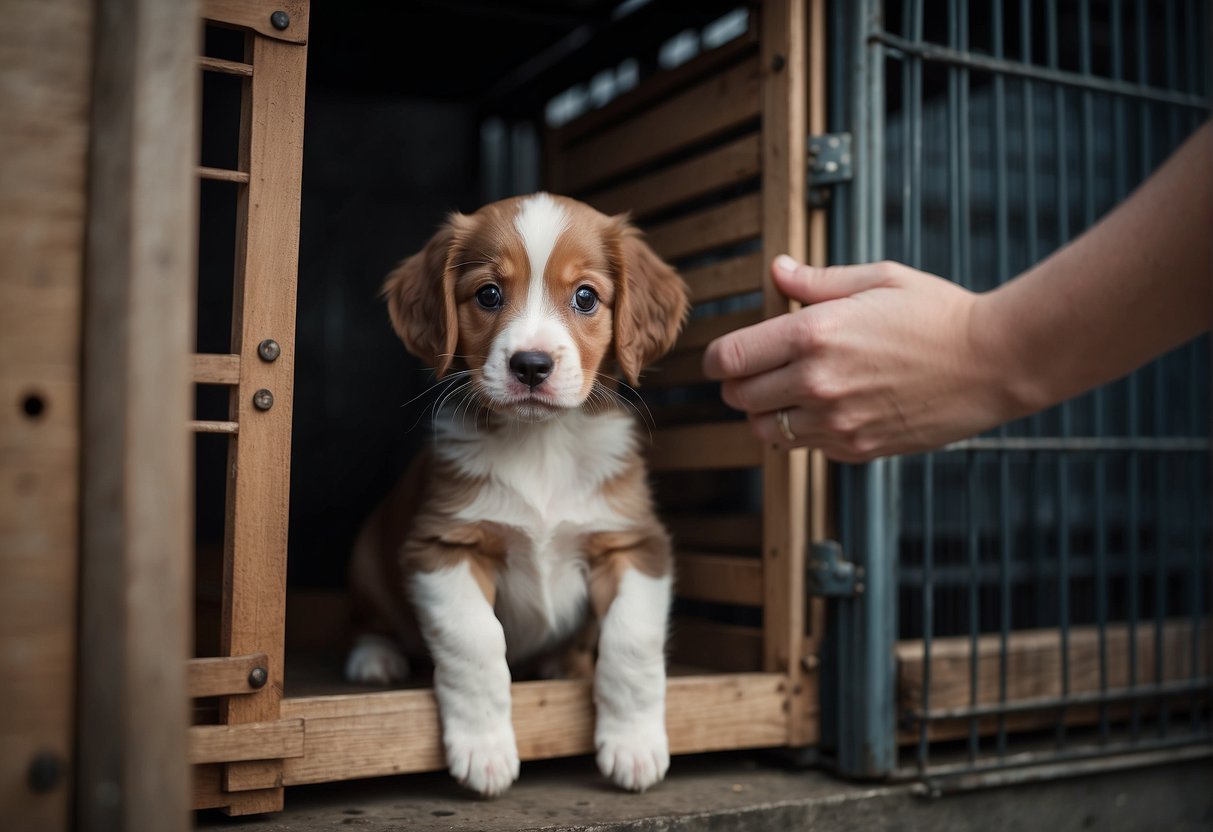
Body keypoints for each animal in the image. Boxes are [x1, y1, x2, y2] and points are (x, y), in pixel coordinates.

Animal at [349, 192, 693, 800]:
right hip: (368, 553)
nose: (531, 365)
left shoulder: (634, 543)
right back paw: (375, 657)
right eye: (488, 294)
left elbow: (631, 640)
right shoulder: (443, 546)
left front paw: (634, 746)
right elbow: (475, 641)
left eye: (586, 297)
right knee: (370, 618)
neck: (541, 445)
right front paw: (484, 751)